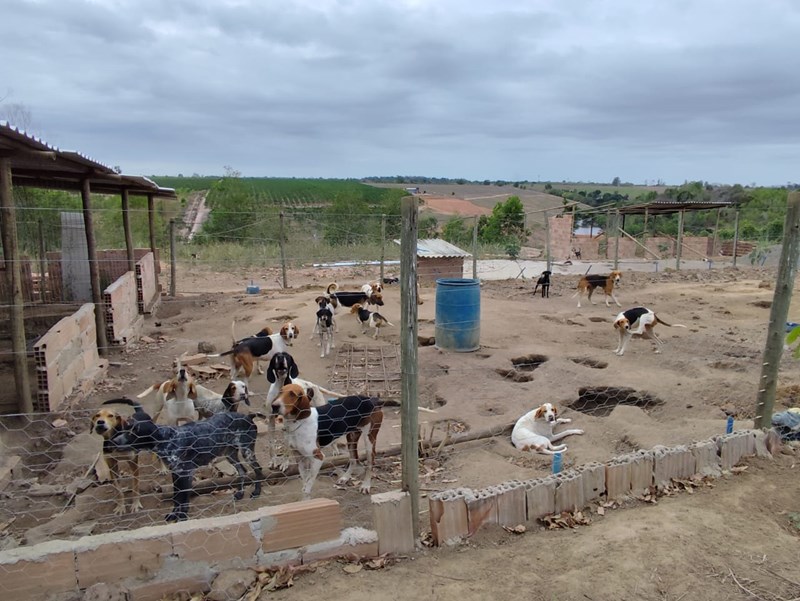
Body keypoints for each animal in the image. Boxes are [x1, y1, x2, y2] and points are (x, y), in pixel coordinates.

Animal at [101, 398, 264, 520]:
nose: (114, 442)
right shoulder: (176, 474)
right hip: (230, 454)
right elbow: (176, 498)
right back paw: (240, 493)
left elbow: (183, 499)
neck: (167, 438)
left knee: (258, 470)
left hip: (247, 451)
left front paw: (182, 516)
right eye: (125, 428)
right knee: (242, 471)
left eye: (135, 432)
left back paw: (257, 492)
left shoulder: (185, 474)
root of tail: (248, 416)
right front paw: (175, 515)